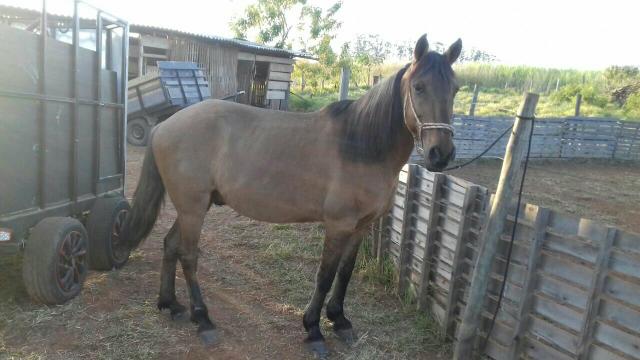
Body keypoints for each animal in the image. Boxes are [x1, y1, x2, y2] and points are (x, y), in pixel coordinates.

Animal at [124, 35, 460, 356]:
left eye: (455, 89)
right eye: (419, 87)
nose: (440, 154)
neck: (359, 145)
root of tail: (165, 125)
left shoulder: (361, 226)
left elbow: (345, 272)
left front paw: (340, 320)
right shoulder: (338, 225)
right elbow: (325, 275)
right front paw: (313, 329)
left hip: (194, 207)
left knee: (170, 246)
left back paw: (171, 305)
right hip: (192, 208)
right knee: (188, 255)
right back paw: (203, 319)